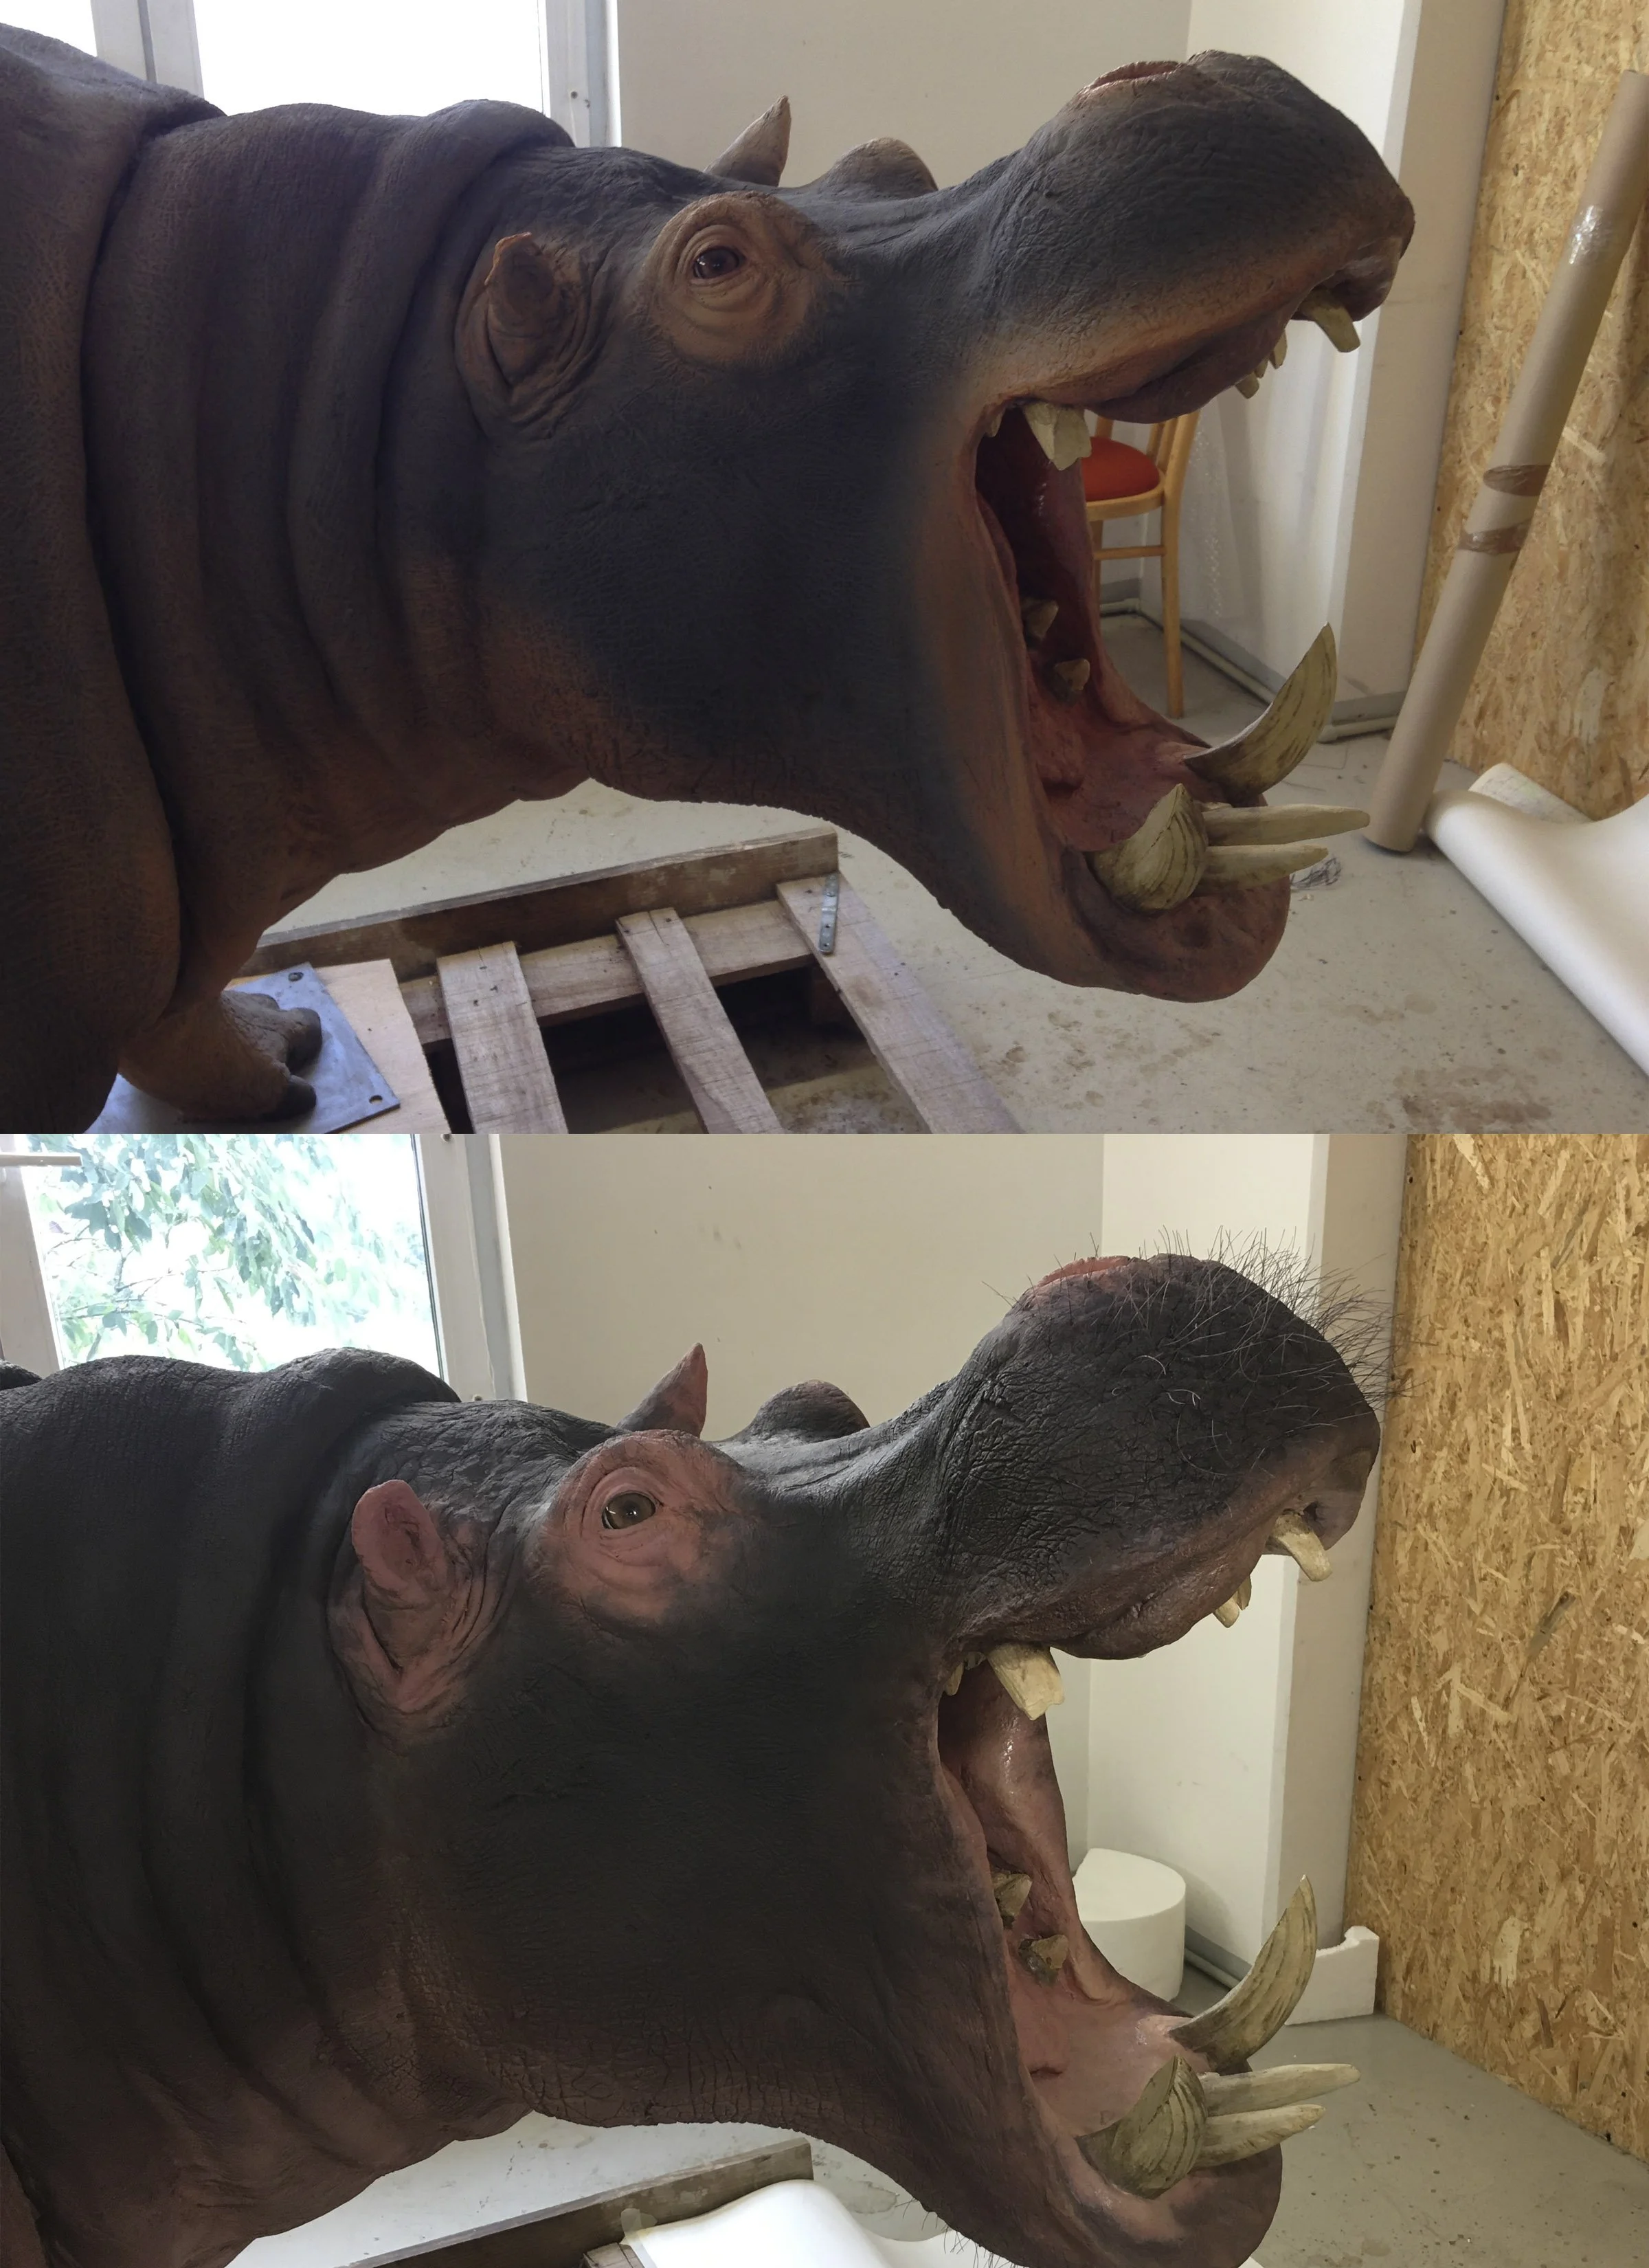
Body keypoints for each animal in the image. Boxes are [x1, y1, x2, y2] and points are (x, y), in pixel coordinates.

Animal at [0, 28, 1413, 1129]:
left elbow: (181, 991)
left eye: (891, 163)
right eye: (716, 263)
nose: (1195, 73)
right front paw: (282, 1069)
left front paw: (279, 1062)